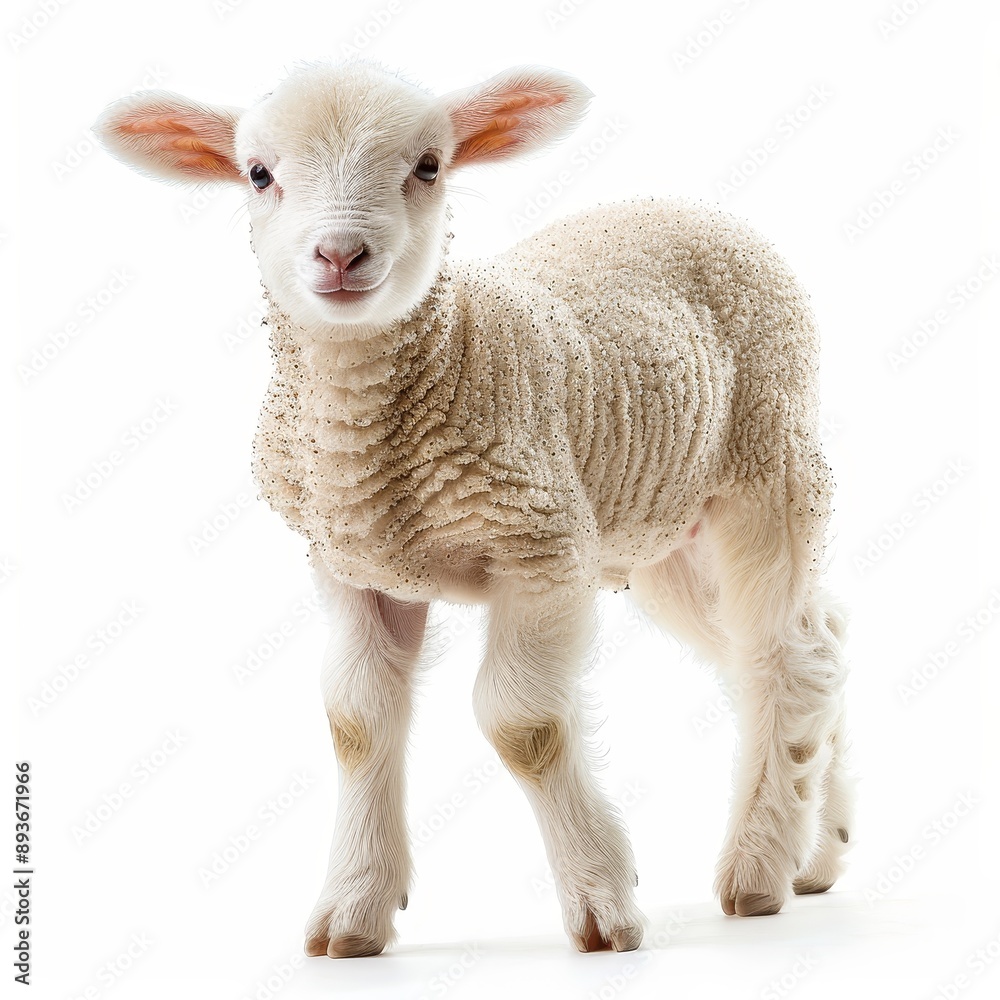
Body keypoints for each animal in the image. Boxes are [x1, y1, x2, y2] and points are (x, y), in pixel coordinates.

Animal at [93, 59, 852, 958]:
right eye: (258, 174)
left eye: (429, 166)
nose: (340, 253)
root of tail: (690, 205)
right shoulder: (353, 567)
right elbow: (356, 723)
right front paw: (353, 910)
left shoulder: (542, 546)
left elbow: (523, 724)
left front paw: (601, 900)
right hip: (662, 530)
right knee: (811, 641)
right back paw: (820, 851)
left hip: (768, 461)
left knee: (784, 657)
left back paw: (760, 868)